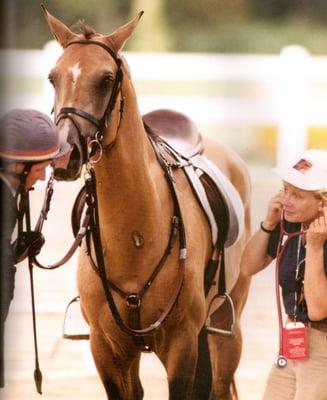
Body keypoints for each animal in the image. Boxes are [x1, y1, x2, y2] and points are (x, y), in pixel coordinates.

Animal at [43, 7, 254, 400]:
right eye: (53, 77)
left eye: (107, 79)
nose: (64, 155)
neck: (136, 236)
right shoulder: (107, 349)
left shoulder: (181, 346)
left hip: (226, 330)